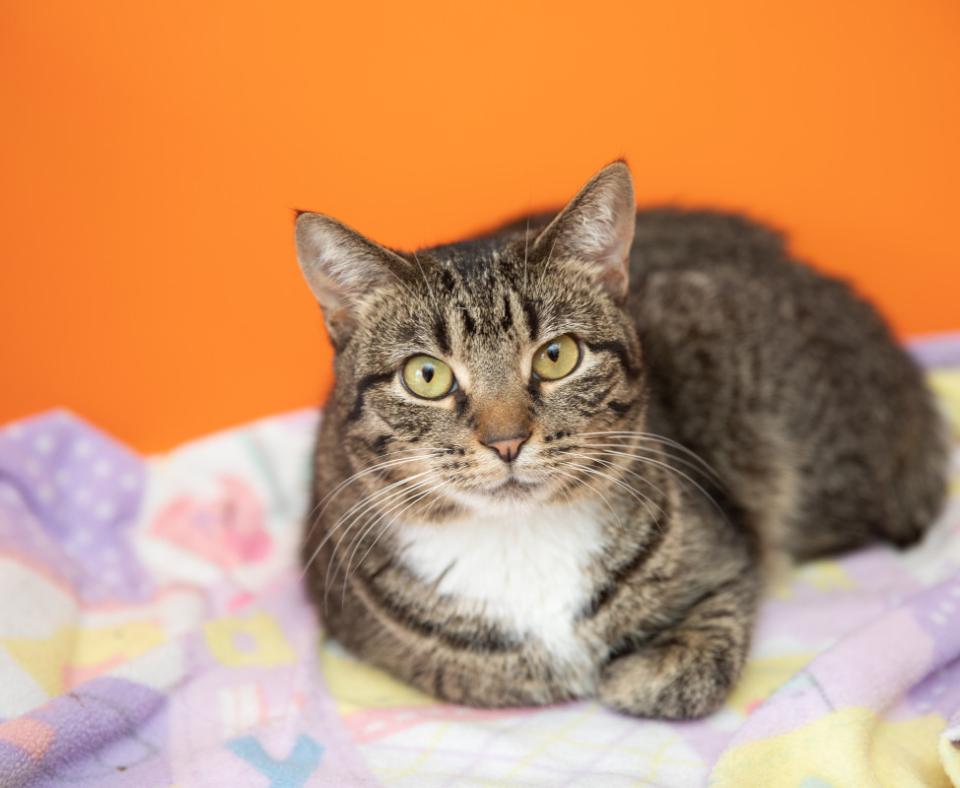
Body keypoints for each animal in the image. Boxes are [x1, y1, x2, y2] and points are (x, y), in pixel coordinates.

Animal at [292, 162, 944, 720]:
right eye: (426, 376)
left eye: (557, 356)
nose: (506, 441)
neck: (521, 539)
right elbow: (491, 674)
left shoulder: (729, 555)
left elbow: (691, 656)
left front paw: (633, 672)